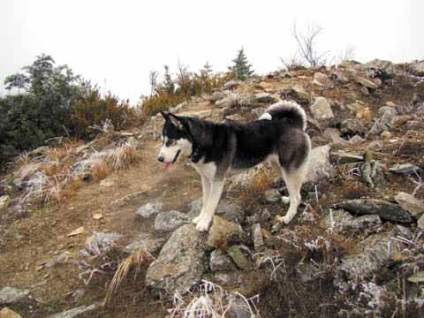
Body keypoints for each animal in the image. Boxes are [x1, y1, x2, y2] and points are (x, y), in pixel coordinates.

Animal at [157, 101, 310, 231]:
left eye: (170, 141)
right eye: (163, 141)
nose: (159, 159)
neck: (205, 142)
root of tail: (294, 125)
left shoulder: (217, 181)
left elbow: (210, 204)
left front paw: (204, 223)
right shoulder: (205, 179)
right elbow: (205, 202)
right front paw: (200, 218)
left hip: (289, 170)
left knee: (297, 197)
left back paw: (287, 218)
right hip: (279, 168)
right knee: (296, 193)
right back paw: (288, 199)